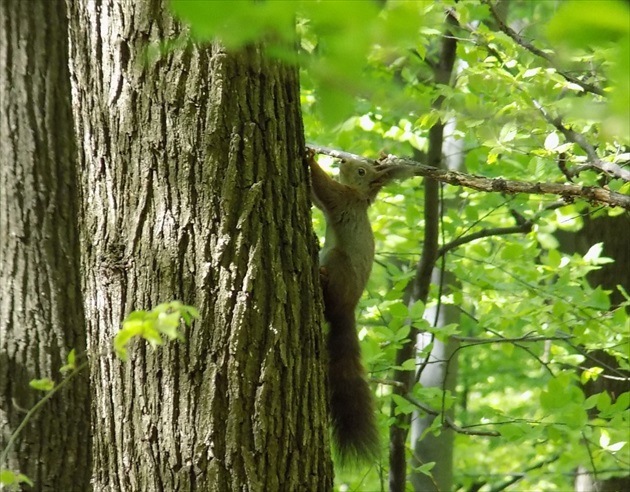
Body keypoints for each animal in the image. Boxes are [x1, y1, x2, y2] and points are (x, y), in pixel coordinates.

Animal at [308, 148, 418, 464]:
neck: (360, 197)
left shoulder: (343, 198)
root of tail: (348, 309)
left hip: (338, 262)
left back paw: (322, 278)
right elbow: (317, 199)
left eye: (361, 171)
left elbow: (324, 188)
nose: (343, 160)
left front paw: (309, 158)